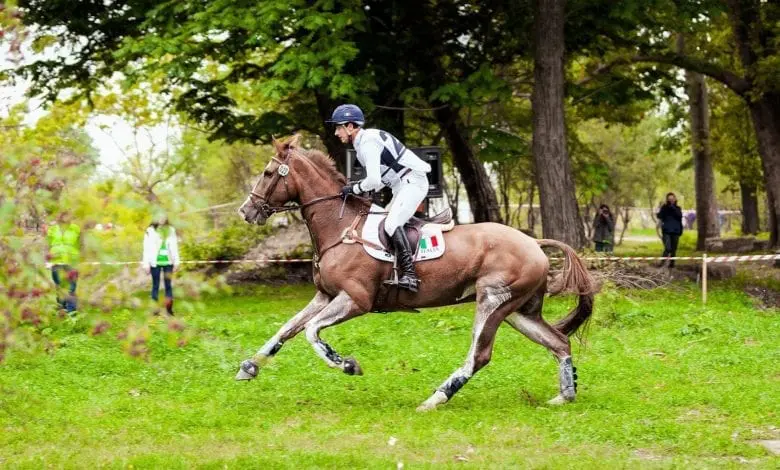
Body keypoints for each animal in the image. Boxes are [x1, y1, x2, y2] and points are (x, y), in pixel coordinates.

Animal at [236, 135, 598, 411]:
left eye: (268, 173)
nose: (246, 211)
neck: (339, 226)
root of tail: (533, 242)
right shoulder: (325, 295)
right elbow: (287, 329)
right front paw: (249, 366)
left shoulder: (355, 299)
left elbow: (311, 331)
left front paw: (347, 364)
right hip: (519, 311)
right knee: (559, 342)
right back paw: (565, 396)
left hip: (493, 301)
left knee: (479, 356)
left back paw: (435, 399)